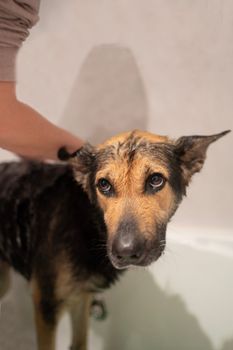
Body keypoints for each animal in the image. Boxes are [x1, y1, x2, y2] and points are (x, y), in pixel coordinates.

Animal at [0, 131, 229, 350]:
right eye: (104, 185)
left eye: (155, 180)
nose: (126, 252)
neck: (87, 221)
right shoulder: (47, 306)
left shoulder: (81, 297)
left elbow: (80, 342)